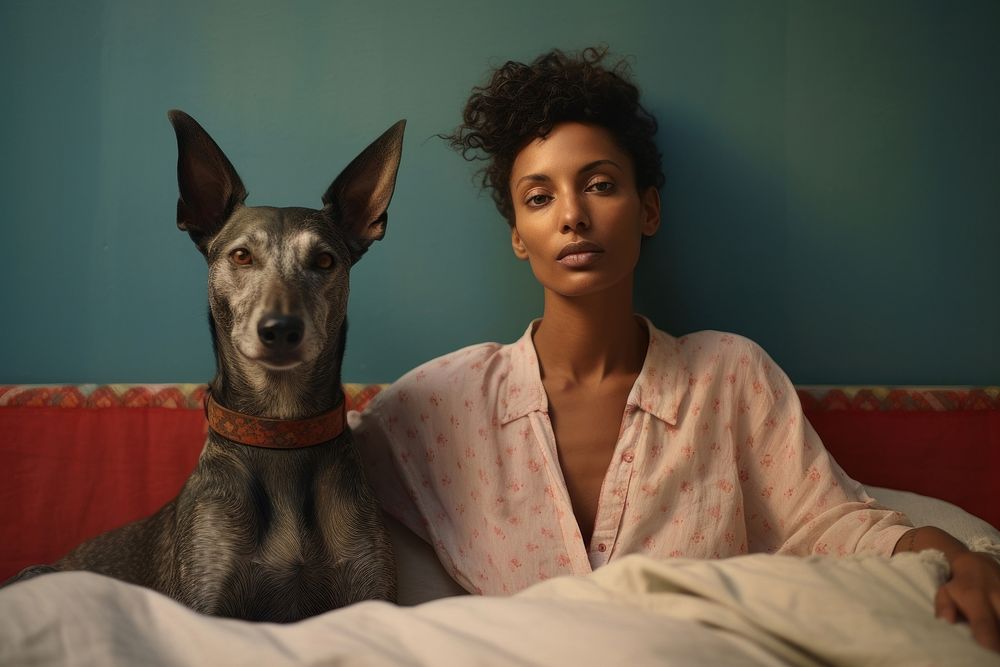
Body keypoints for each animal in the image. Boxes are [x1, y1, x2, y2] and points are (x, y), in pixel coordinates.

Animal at [4, 111, 402, 628]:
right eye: (241, 255)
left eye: (324, 260)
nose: (280, 329)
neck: (281, 430)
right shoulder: (207, 600)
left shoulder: (374, 595)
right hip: (38, 572)